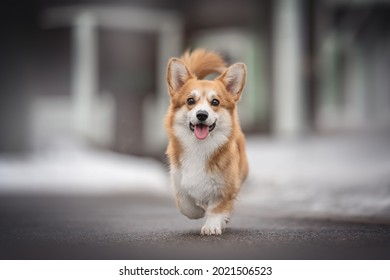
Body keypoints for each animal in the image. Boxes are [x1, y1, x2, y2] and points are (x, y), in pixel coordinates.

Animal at [164, 49, 248, 235]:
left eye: (215, 102)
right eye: (190, 101)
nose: (202, 115)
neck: (199, 147)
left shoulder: (225, 187)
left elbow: (217, 208)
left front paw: (212, 225)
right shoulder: (179, 181)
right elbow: (185, 205)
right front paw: (199, 212)